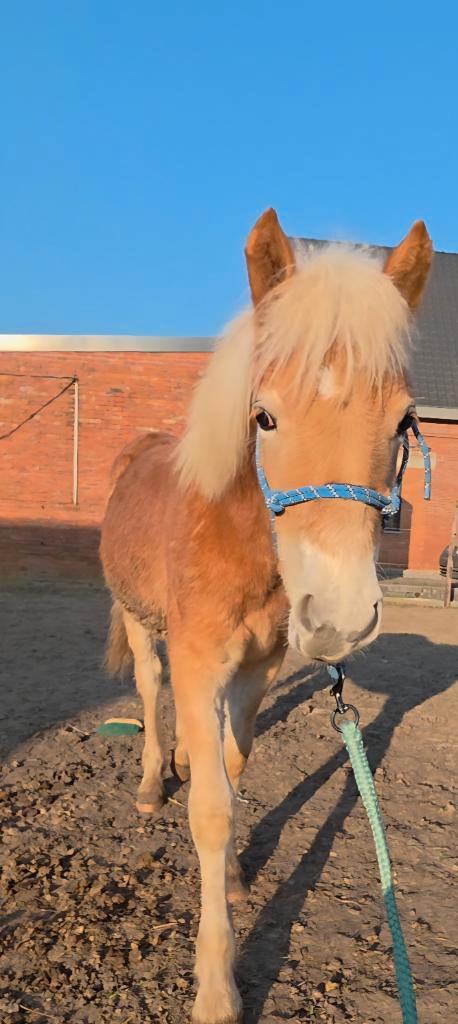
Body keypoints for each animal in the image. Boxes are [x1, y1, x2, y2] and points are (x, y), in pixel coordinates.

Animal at [100, 208, 432, 1024]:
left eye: (404, 420)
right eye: (265, 416)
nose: (339, 616)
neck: (235, 539)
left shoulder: (257, 669)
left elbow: (234, 764)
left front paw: (235, 875)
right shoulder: (196, 659)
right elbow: (210, 809)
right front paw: (217, 986)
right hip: (138, 622)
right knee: (150, 693)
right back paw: (154, 782)